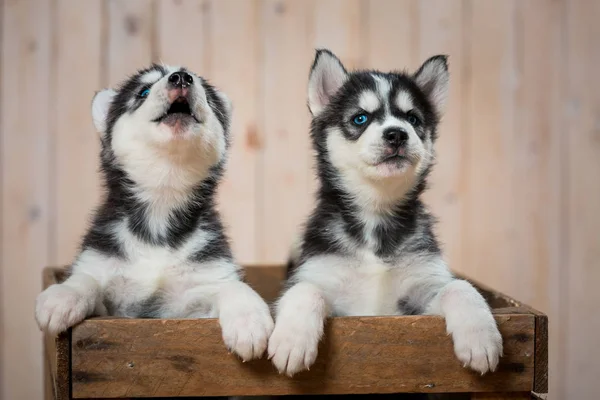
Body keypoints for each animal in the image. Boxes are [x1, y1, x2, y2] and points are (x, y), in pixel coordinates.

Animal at [34, 66, 274, 362]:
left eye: (207, 96)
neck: (163, 200)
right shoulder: (109, 297)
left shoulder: (198, 296)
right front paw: (64, 295)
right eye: (143, 91)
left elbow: (232, 285)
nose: (181, 77)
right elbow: (86, 279)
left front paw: (248, 319)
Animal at [268, 49, 502, 376]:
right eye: (360, 118)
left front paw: (481, 338)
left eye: (412, 118)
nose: (397, 134)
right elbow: (304, 290)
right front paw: (292, 341)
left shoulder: (417, 299)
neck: (375, 216)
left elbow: (460, 286)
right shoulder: (322, 279)